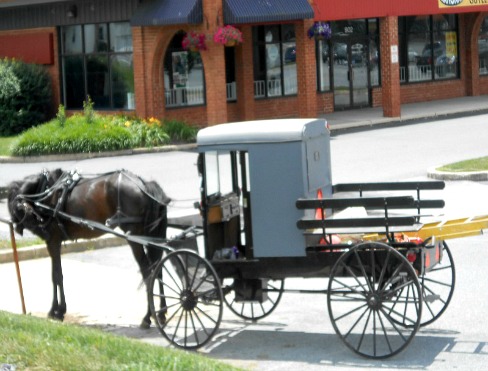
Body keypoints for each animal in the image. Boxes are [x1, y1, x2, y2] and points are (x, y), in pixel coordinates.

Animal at [6, 169, 172, 328]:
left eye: (18, 207)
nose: (40, 228)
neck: (46, 192)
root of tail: (144, 185)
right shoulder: (53, 242)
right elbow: (56, 274)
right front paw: (58, 310)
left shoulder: (53, 241)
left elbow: (56, 276)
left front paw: (56, 311)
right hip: (150, 236)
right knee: (158, 269)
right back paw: (161, 313)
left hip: (134, 238)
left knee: (148, 272)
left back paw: (147, 317)